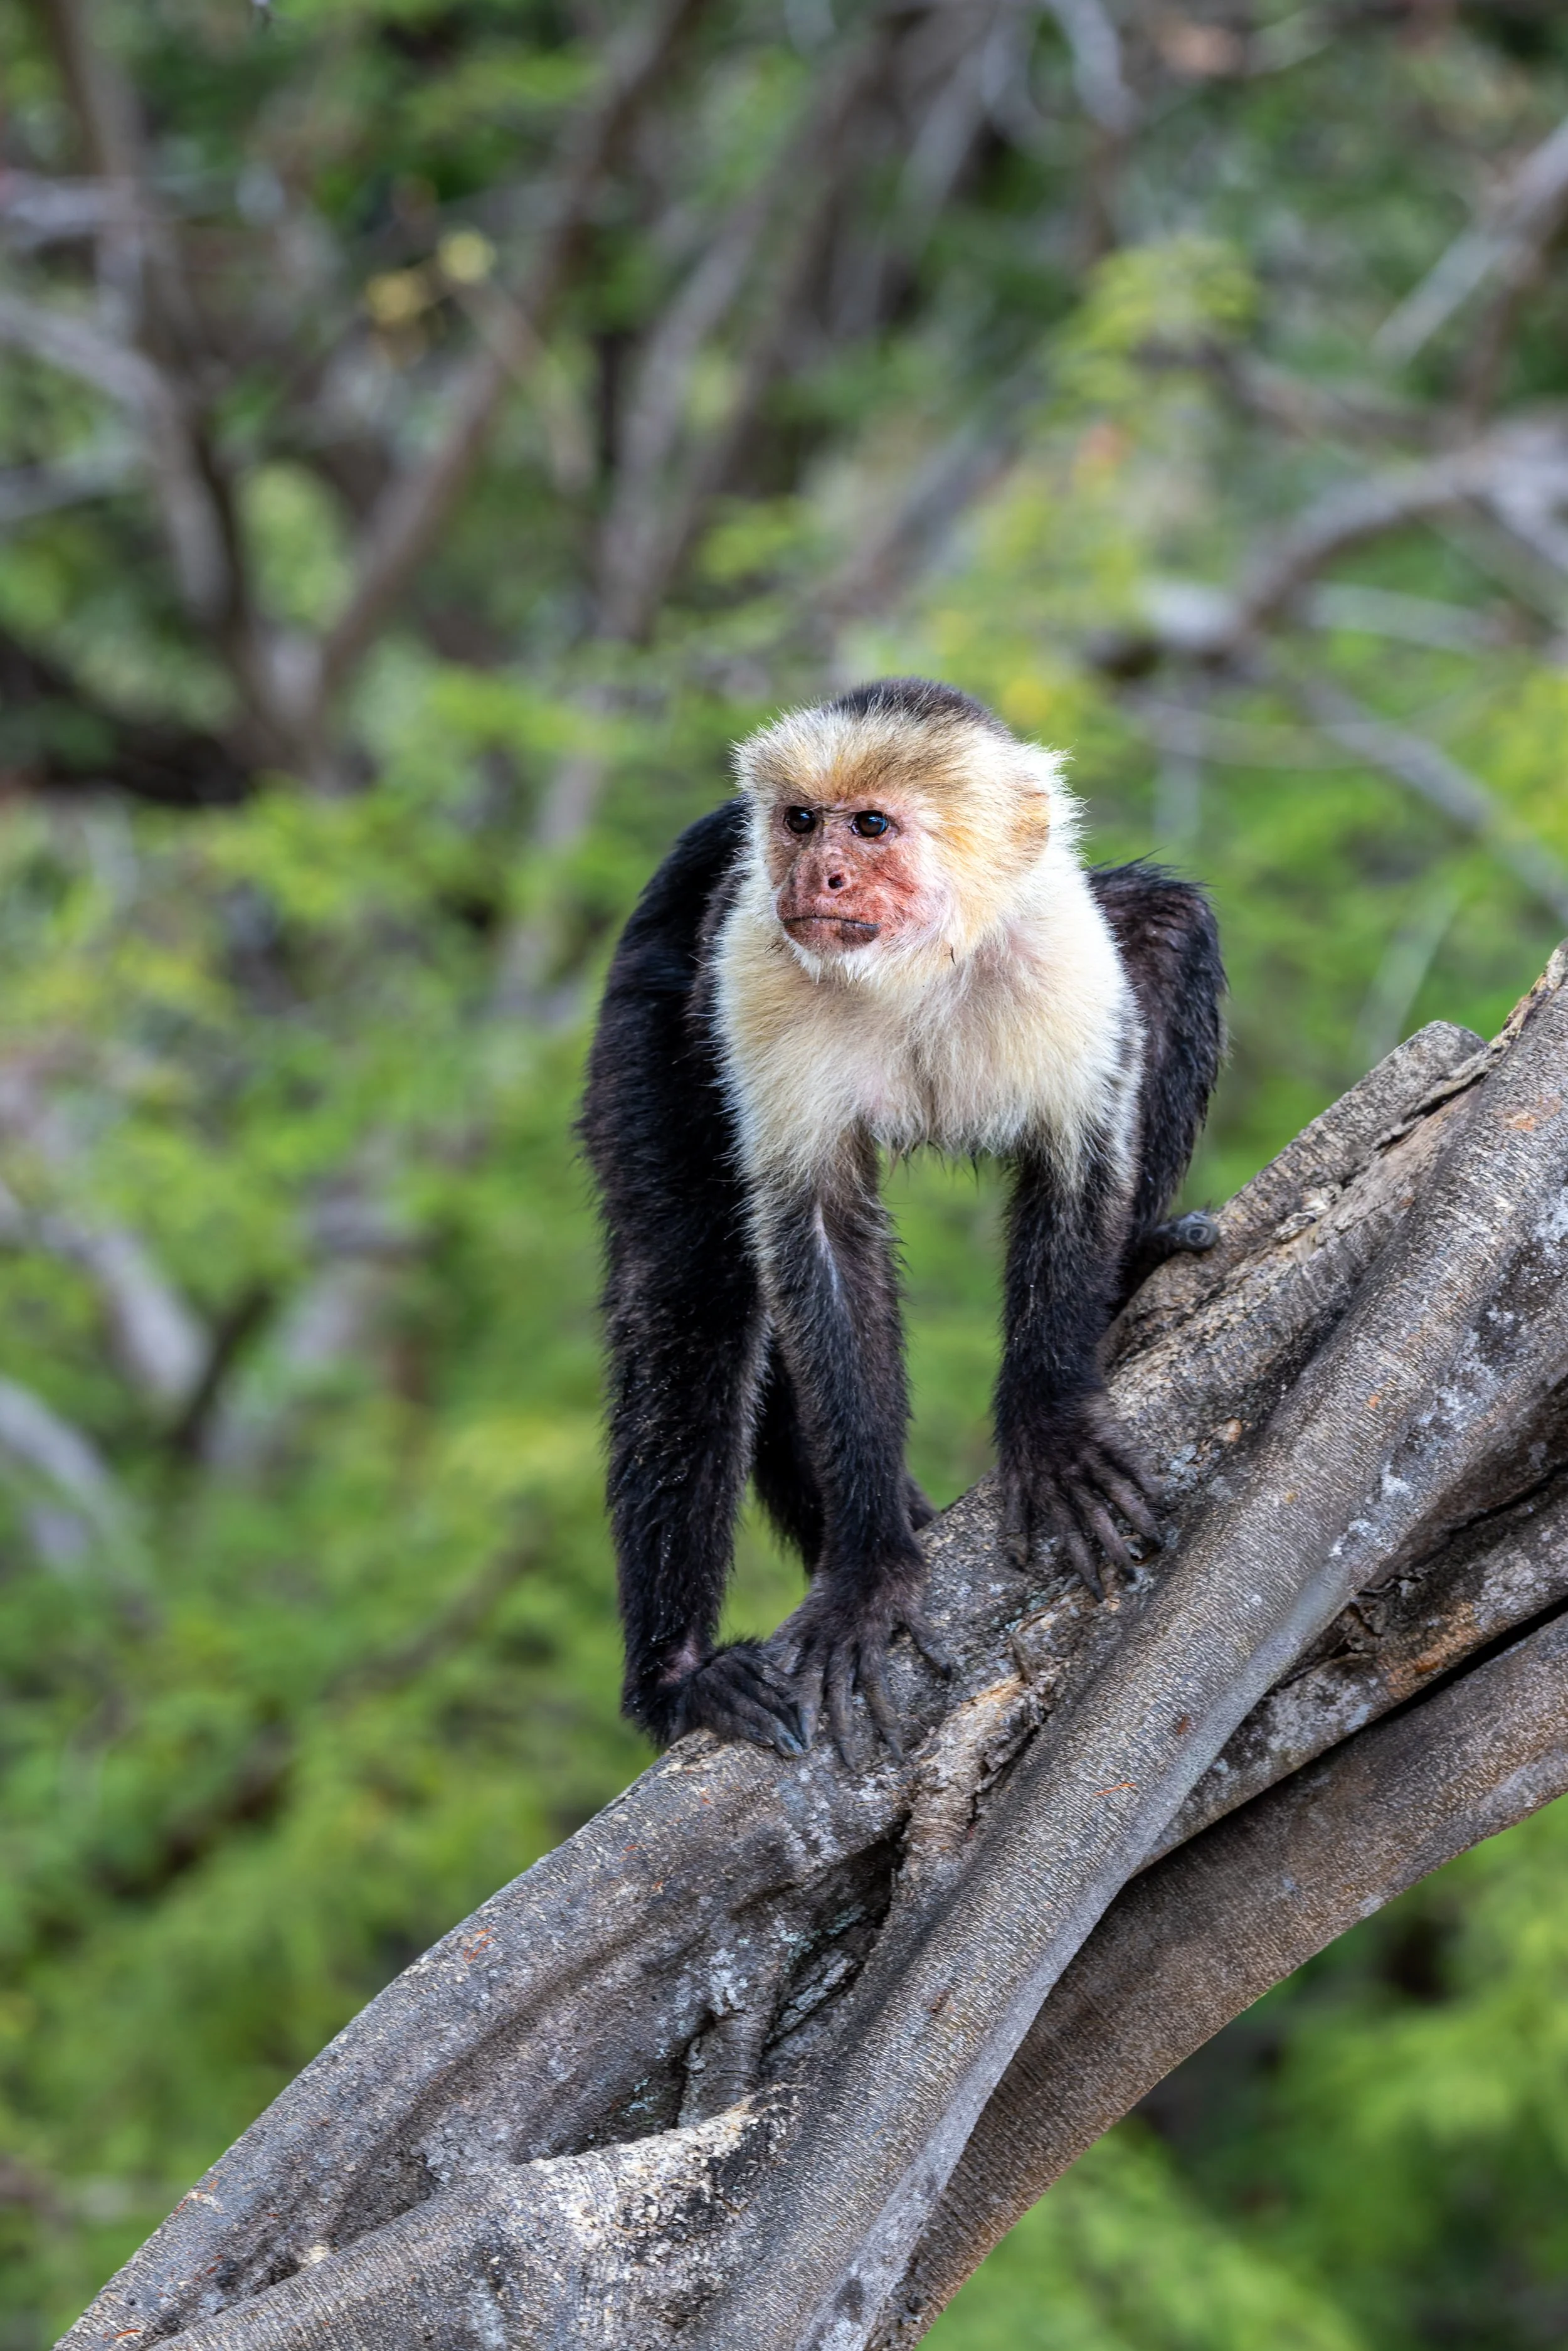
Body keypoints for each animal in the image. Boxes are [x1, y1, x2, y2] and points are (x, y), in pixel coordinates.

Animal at [580, 678, 1223, 1764]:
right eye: (804, 822)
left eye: (872, 826)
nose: (822, 873)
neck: (914, 966)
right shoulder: (758, 965)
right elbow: (821, 1242)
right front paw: (870, 1568)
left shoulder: (1054, 940)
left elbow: (1080, 1157)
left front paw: (1051, 1427)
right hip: (654, 993)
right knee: (690, 1286)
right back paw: (677, 1678)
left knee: (1169, 924)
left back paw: (1134, 1262)